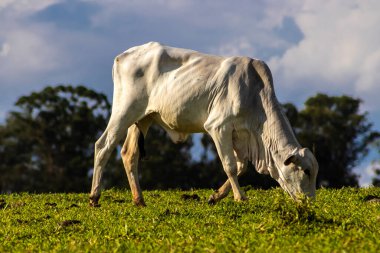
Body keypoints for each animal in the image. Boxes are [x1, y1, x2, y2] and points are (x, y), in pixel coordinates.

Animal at [90, 42, 320, 208]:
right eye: (306, 171)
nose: (310, 202)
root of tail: (123, 55)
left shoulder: (239, 135)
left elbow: (241, 166)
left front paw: (215, 196)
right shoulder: (218, 127)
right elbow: (230, 165)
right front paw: (240, 197)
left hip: (143, 118)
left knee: (129, 154)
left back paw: (139, 200)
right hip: (124, 111)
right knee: (103, 146)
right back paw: (94, 197)